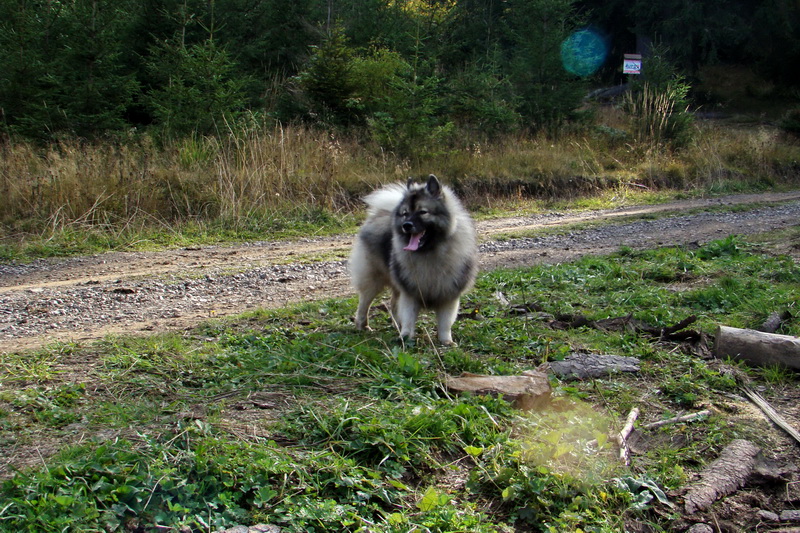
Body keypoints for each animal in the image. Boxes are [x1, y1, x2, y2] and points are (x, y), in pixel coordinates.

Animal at [348, 172, 476, 342]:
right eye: (405, 214)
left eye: (423, 212)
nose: (406, 225)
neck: (429, 252)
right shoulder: (410, 291)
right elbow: (409, 316)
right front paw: (406, 336)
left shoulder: (448, 293)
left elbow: (445, 321)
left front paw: (446, 341)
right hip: (374, 279)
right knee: (364, 303)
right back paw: (363, 325)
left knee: (393, 304)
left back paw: (396, 325)